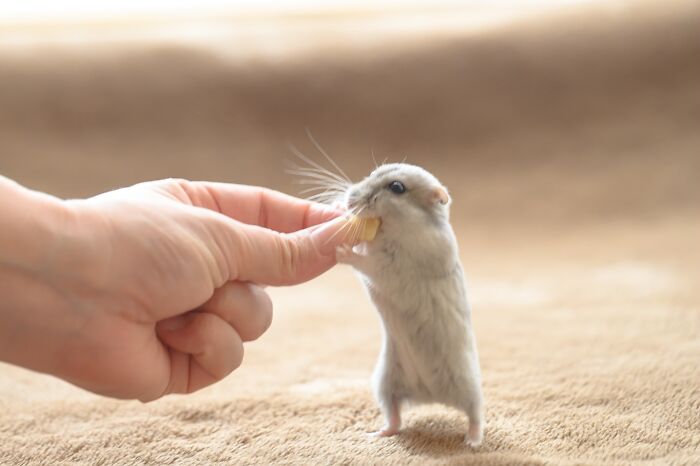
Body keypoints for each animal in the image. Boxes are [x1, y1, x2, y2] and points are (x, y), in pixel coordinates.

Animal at [335, 163, 484, 447]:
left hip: (467, 383)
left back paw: (472, 441)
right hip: (385, 382)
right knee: (395, 416)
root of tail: (430, 395)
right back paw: (377, 433)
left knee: (476, 413)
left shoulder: (390, 265)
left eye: (397, 187)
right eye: (372, 173)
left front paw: (344, 248)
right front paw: (339, 209)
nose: (349, 198)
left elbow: (364, 259)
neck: (394, 227)